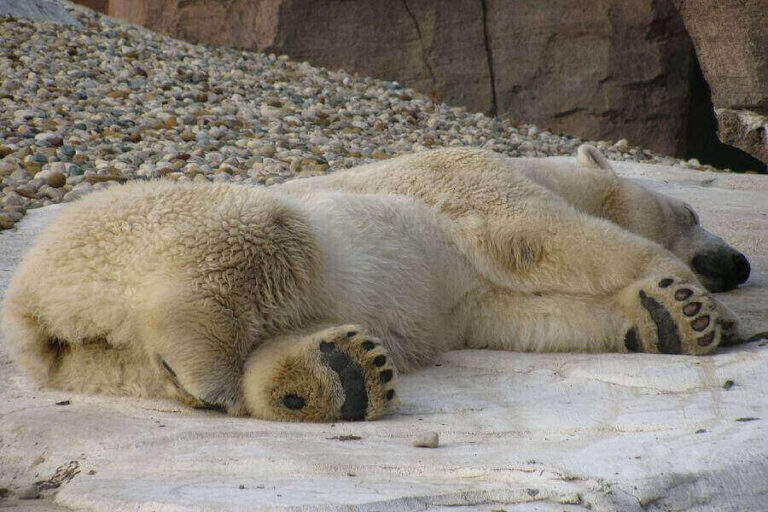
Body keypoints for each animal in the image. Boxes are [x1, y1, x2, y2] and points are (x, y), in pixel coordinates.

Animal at [0, 145, 745, 422]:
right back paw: (217, 370)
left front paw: (673, 318)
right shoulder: (469, 177)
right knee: (259, 236)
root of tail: (33, 305)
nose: (739, 262)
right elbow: (541, 238)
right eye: (690, 210)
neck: (540, 166)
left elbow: (521, 316)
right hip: (152, 226)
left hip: (99, 363)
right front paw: (698, 300)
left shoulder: (470, 295)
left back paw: (332, 376)